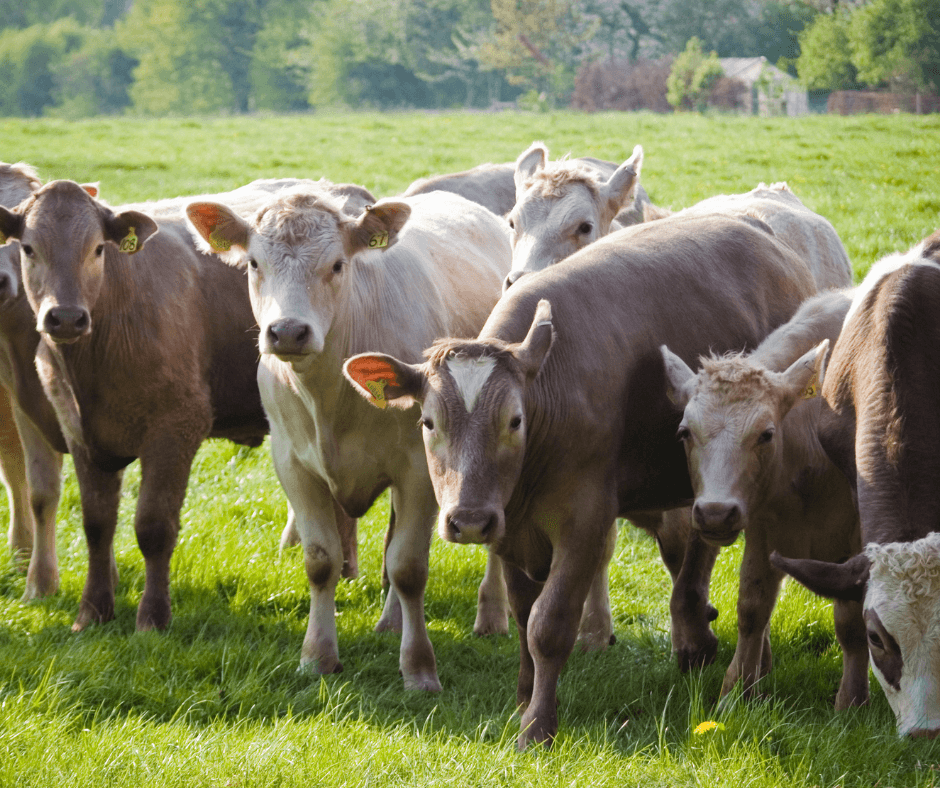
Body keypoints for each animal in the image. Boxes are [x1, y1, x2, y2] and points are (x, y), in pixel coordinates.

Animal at [185, 185, 514, 690]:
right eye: (255, 263)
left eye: (338, 264)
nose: (288, 331)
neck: (330, 394)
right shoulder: (293, 465)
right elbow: (322, 561)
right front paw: (317, 656)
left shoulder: (418, 468)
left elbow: (409, 567)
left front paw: (419, 668)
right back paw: (391, 620)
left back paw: (491, 614)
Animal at [342, 213, 817, 746]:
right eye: (428, 423)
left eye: (514, 421)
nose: (467, 521)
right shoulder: (509, 525)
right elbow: (522, 613)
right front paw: (523, 700)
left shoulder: (584, 521)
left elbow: (549, 624)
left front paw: (538, 725)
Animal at [660, 288, 869, 710]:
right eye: (684, 432)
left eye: (766, 434)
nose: (715, 513)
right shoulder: (762, 528)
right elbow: (752, 609)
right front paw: (735, 692)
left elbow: (851, 620)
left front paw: (852, 701)